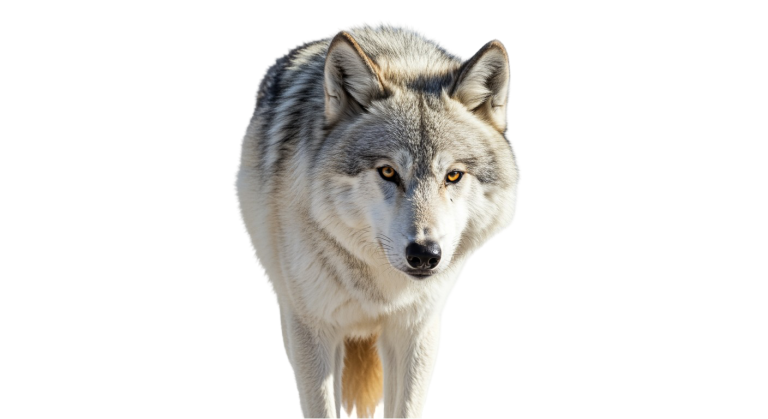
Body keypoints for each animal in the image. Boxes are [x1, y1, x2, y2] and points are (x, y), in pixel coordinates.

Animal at [232, 20, 520, 419]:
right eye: (387, 171)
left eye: (453, 175)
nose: (424, 255)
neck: (382, 289)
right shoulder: (312, 330)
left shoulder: (416, 332)